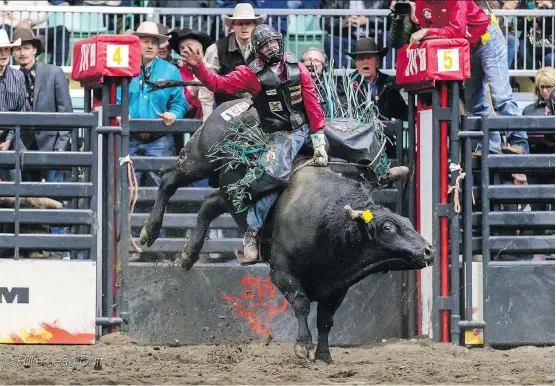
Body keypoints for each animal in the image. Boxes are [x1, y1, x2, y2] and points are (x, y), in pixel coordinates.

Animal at [139, 97, 434, 362]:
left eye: (408, 224)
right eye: (387, 227)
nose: (429, 250)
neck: (330, 221)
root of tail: (230, 104)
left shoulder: (337, 286)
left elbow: (326, 320)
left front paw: (324, 355)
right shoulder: (282, 272)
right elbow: (301, 303)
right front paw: (303, 346)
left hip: (229, 192)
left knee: (209, 204)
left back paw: (188, 254)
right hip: (198, 159)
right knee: (168, 181)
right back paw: (149, 232)